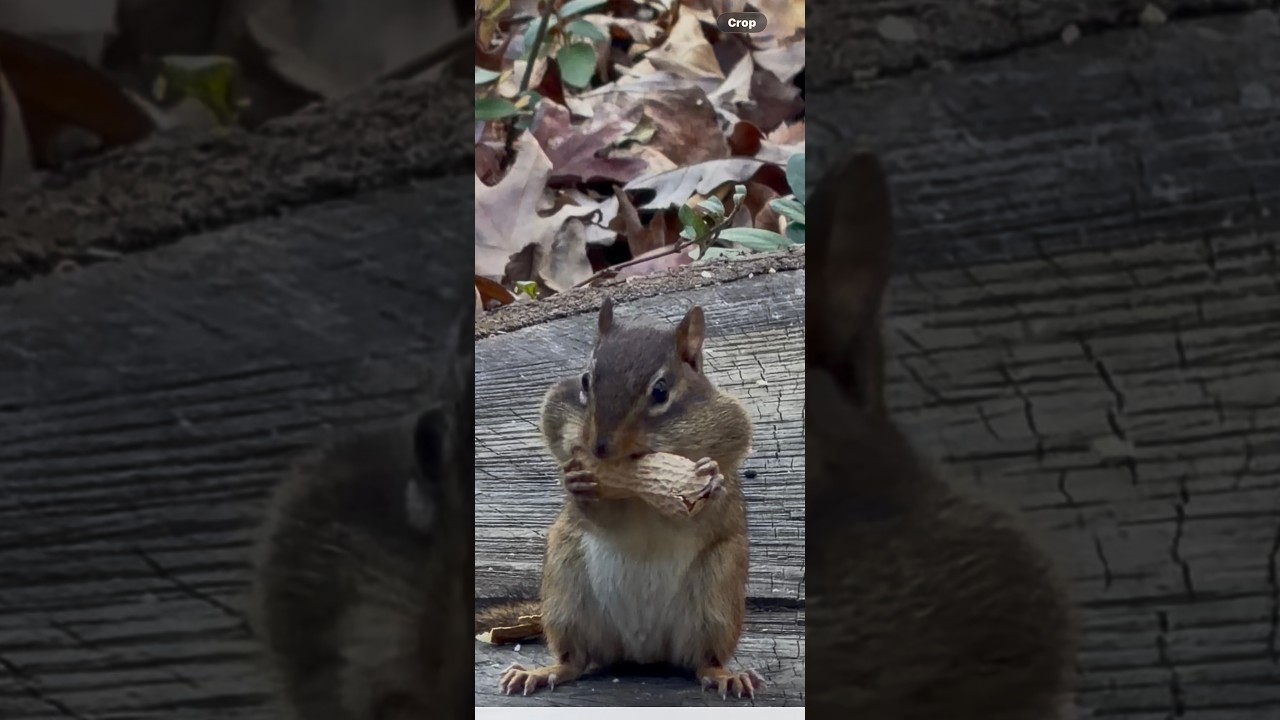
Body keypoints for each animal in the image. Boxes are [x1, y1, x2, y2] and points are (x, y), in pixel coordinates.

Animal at [488, 297, 766, 700]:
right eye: (585, 380)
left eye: (661, 391)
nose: (599, 447)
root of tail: (642, 651)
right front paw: (576, 483)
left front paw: (711, 480)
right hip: (565, 591)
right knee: (574, 659)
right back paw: (541, 672)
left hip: (718, 597)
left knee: (704, 661)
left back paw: (725, 676)